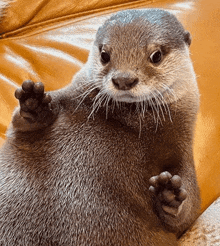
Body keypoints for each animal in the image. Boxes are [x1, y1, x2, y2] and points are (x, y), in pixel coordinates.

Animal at [0, 8, 200, 246]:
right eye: (105, 54)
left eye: (156, 55)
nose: (124, 79)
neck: (129, 121)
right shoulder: (69, 96)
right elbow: (21, 124)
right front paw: (34, 104)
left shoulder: (181, 146)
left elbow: (188, 211)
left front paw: (169, 194)